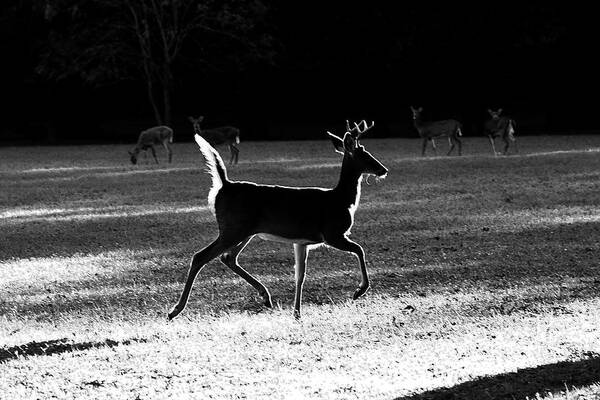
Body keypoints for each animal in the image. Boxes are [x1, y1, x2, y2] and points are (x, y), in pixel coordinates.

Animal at [168, 118, 390, 318]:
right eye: (366, 155)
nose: (383, 170)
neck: (341, 199)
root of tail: (224, 184)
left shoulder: (302, 241)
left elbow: (300, 275)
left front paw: (297, 313)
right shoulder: (332, 233)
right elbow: (359, 250)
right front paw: (359, 290)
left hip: (246, 231)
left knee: (228, 257)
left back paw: (266, 297)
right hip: (233, 228)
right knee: (200, 256)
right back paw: (175, 310)